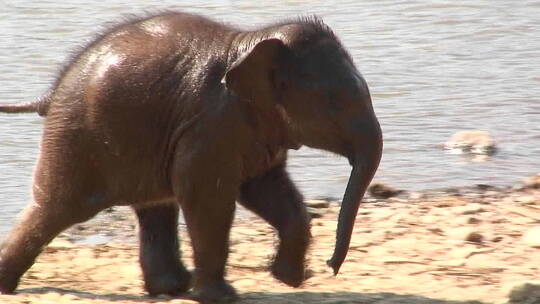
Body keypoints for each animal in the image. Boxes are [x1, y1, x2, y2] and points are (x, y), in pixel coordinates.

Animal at [0, 10, 380, 302]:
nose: (330, 267)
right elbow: (208, 196)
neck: (250, 42)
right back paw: (7, 285)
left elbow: (267, 189)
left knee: (154, 207)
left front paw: (287, 279)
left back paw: (171, 288)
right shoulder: (210, 125)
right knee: (57, 207)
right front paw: (223, 297)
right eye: (335, 102)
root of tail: (53, 91)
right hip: (79, 135)